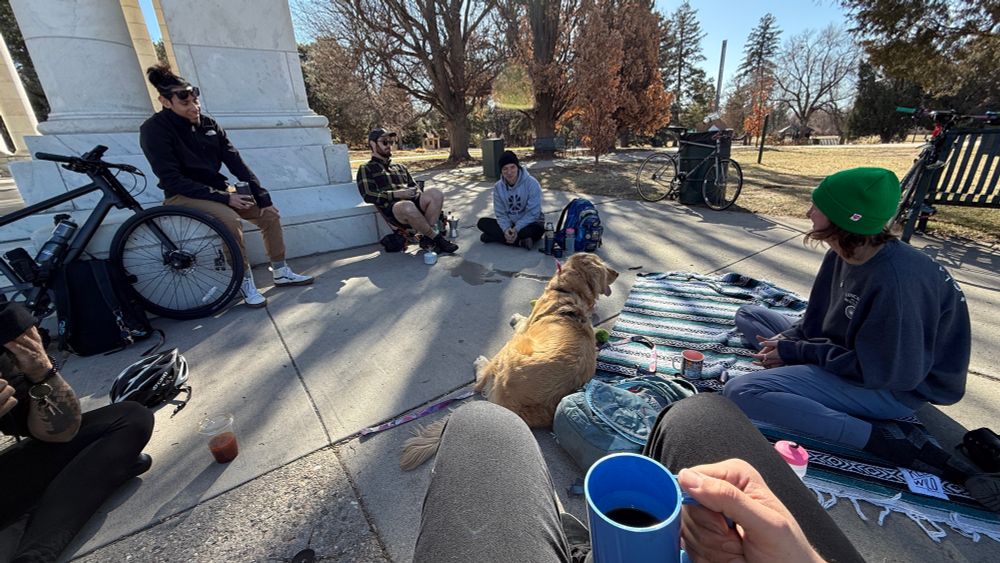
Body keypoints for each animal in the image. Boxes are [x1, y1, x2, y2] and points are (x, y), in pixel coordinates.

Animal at [400, 253, 619, 470]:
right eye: (604, 266)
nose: (617, 272)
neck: (570, 292)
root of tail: (506, 407)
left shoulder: (527, 326)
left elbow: (521, 321)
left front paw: (515, 317)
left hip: (509, 348)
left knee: (480, 382)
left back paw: (481, 363)